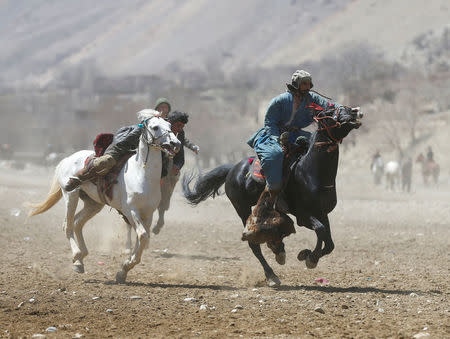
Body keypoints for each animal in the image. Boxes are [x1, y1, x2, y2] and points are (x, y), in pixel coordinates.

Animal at [28, 111, 181, 284]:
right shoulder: (131, 211)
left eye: (169, 126)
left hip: (93, 204)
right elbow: (142, 236)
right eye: (155, 127)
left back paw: (80, 258)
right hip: (71, 195)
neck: (142, 175)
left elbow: (143, 239)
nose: (175, 143)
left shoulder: (148, 214)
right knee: (67, 225)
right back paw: (76, 258)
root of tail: (66, 159)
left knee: (77, 223)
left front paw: (123, 270)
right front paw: (125, 266)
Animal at [183, 106, 362, 286]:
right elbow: (320, 230)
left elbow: (328, 240)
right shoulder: (303, 216)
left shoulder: (321, 212)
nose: (354, 112)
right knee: (254, 243)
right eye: (332, 112)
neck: (310, 172)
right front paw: (309, 257)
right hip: (242, 207)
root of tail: (233, 169)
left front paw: (309, 256)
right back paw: (271, 275)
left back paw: (279, 251)